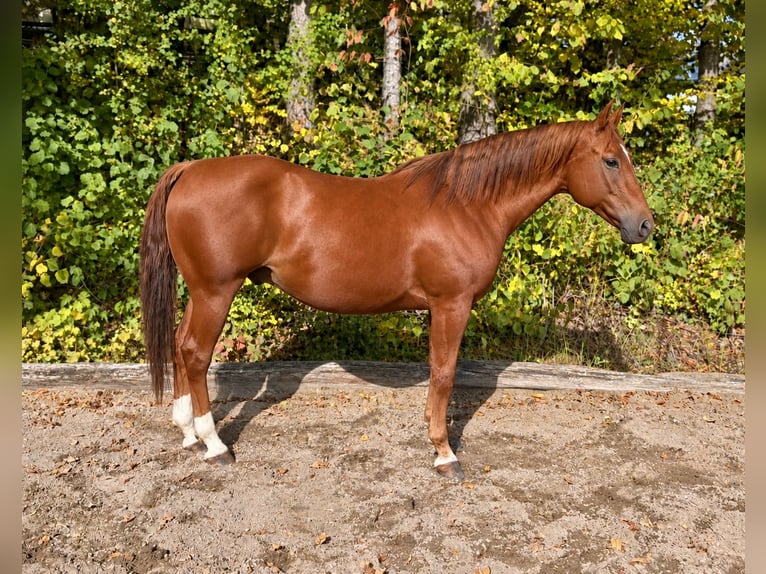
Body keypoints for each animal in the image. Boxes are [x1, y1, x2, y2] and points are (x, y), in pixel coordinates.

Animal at [139, 101, 654, 480]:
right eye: (611, 160)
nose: (645, 225)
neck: (468, 204)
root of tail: (190, 170)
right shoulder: (451, 305)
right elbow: (444, 374)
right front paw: (444, 454)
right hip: (216, 291)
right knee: (196, 353)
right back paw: (214, 445)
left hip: (201, 292)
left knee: (181, 347)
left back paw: (187, 432)